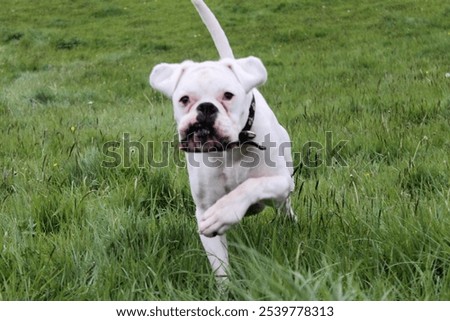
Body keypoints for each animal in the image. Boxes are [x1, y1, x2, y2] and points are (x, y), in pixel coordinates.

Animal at [149, 0, 294, 278]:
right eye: (184, 99)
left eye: (228, 95)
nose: (206, 107)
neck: (231, 150)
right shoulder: (204, 210)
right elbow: (220, 267)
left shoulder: (281, 182)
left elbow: (252, 185)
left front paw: (226, 211)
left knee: (285, 207)